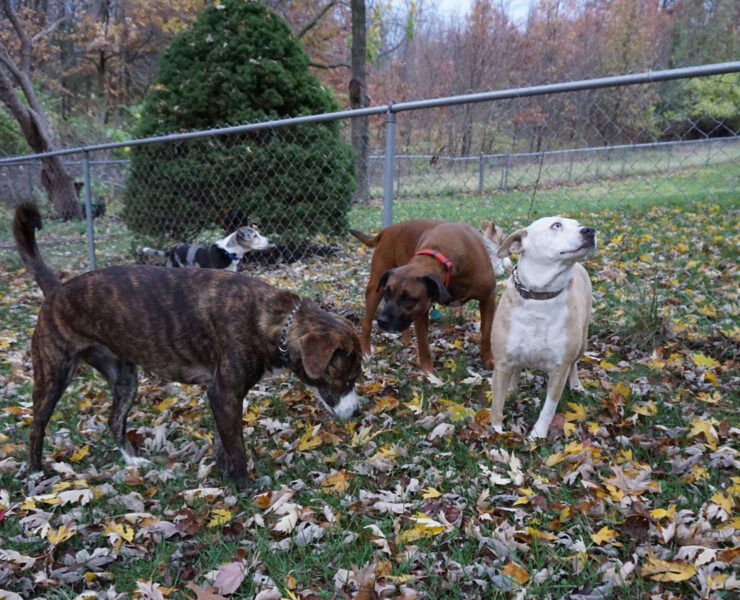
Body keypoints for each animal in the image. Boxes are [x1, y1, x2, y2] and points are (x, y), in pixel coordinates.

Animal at [348, 218, 498, 372]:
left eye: (408, 298)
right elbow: (423, 344)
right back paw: (366, 353)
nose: (382, 321)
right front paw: (428, 373)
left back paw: (406, 342)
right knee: (366, 323)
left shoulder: (488, 299)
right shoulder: (420, 311)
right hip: (374, 289)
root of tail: (389, 229)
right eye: (387, 293)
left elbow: (487, 334)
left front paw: (488, 359)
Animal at [492, 213, 596, 438]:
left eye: (578, 224)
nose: (590, 230)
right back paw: (512, 389)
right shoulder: (502, 362)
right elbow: (497, 402)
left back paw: (576, 384)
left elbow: (549, 407)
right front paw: (494, 431)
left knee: (575, 364)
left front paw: (537, 434)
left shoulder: (559, 369)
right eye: (556, 225)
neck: (540, 296)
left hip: (582, 341)